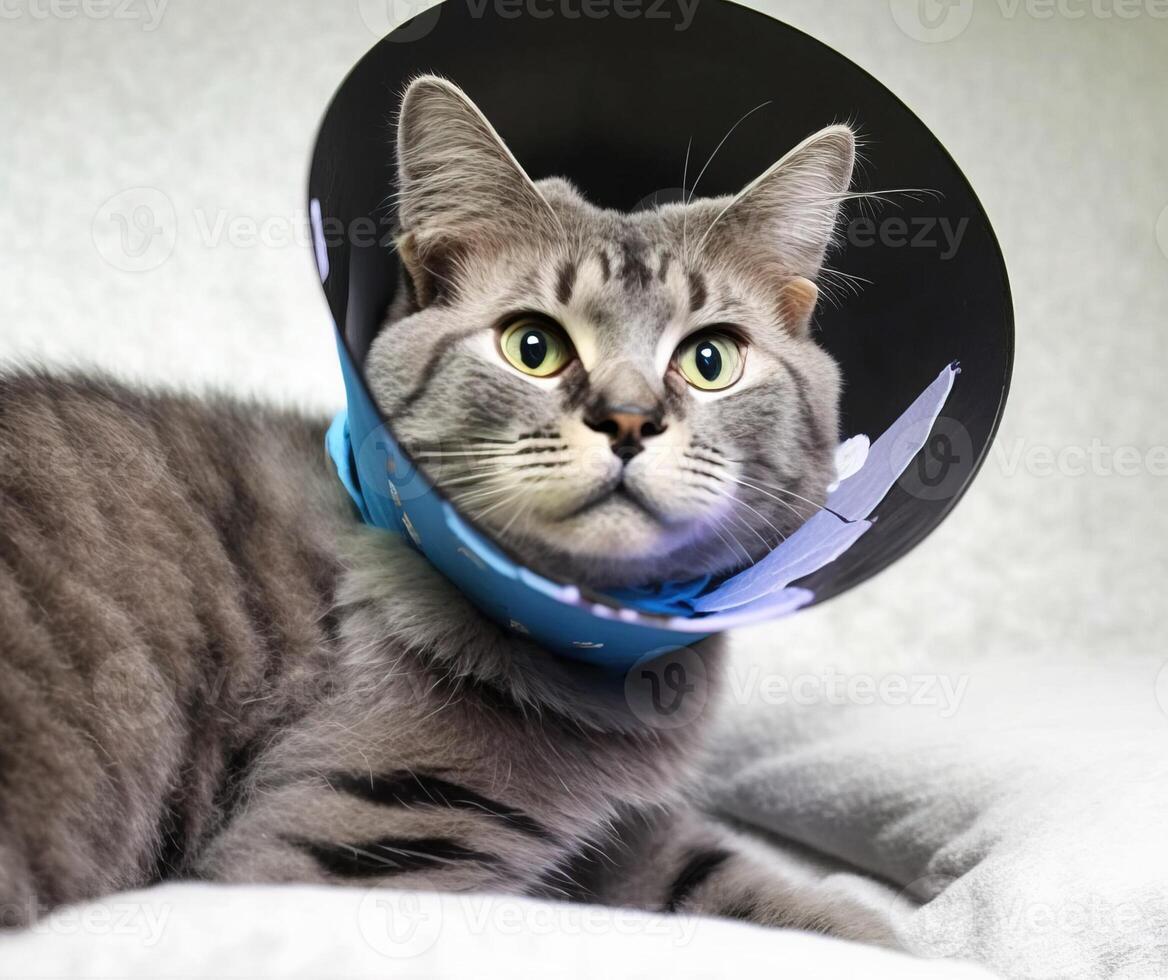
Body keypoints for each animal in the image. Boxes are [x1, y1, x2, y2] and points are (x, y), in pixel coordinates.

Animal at [0, 78, 878, 943]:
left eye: (710, 360)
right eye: (533, 347)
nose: (629, 420)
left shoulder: (631, 836)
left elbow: (726, 875)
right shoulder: (361, 846)